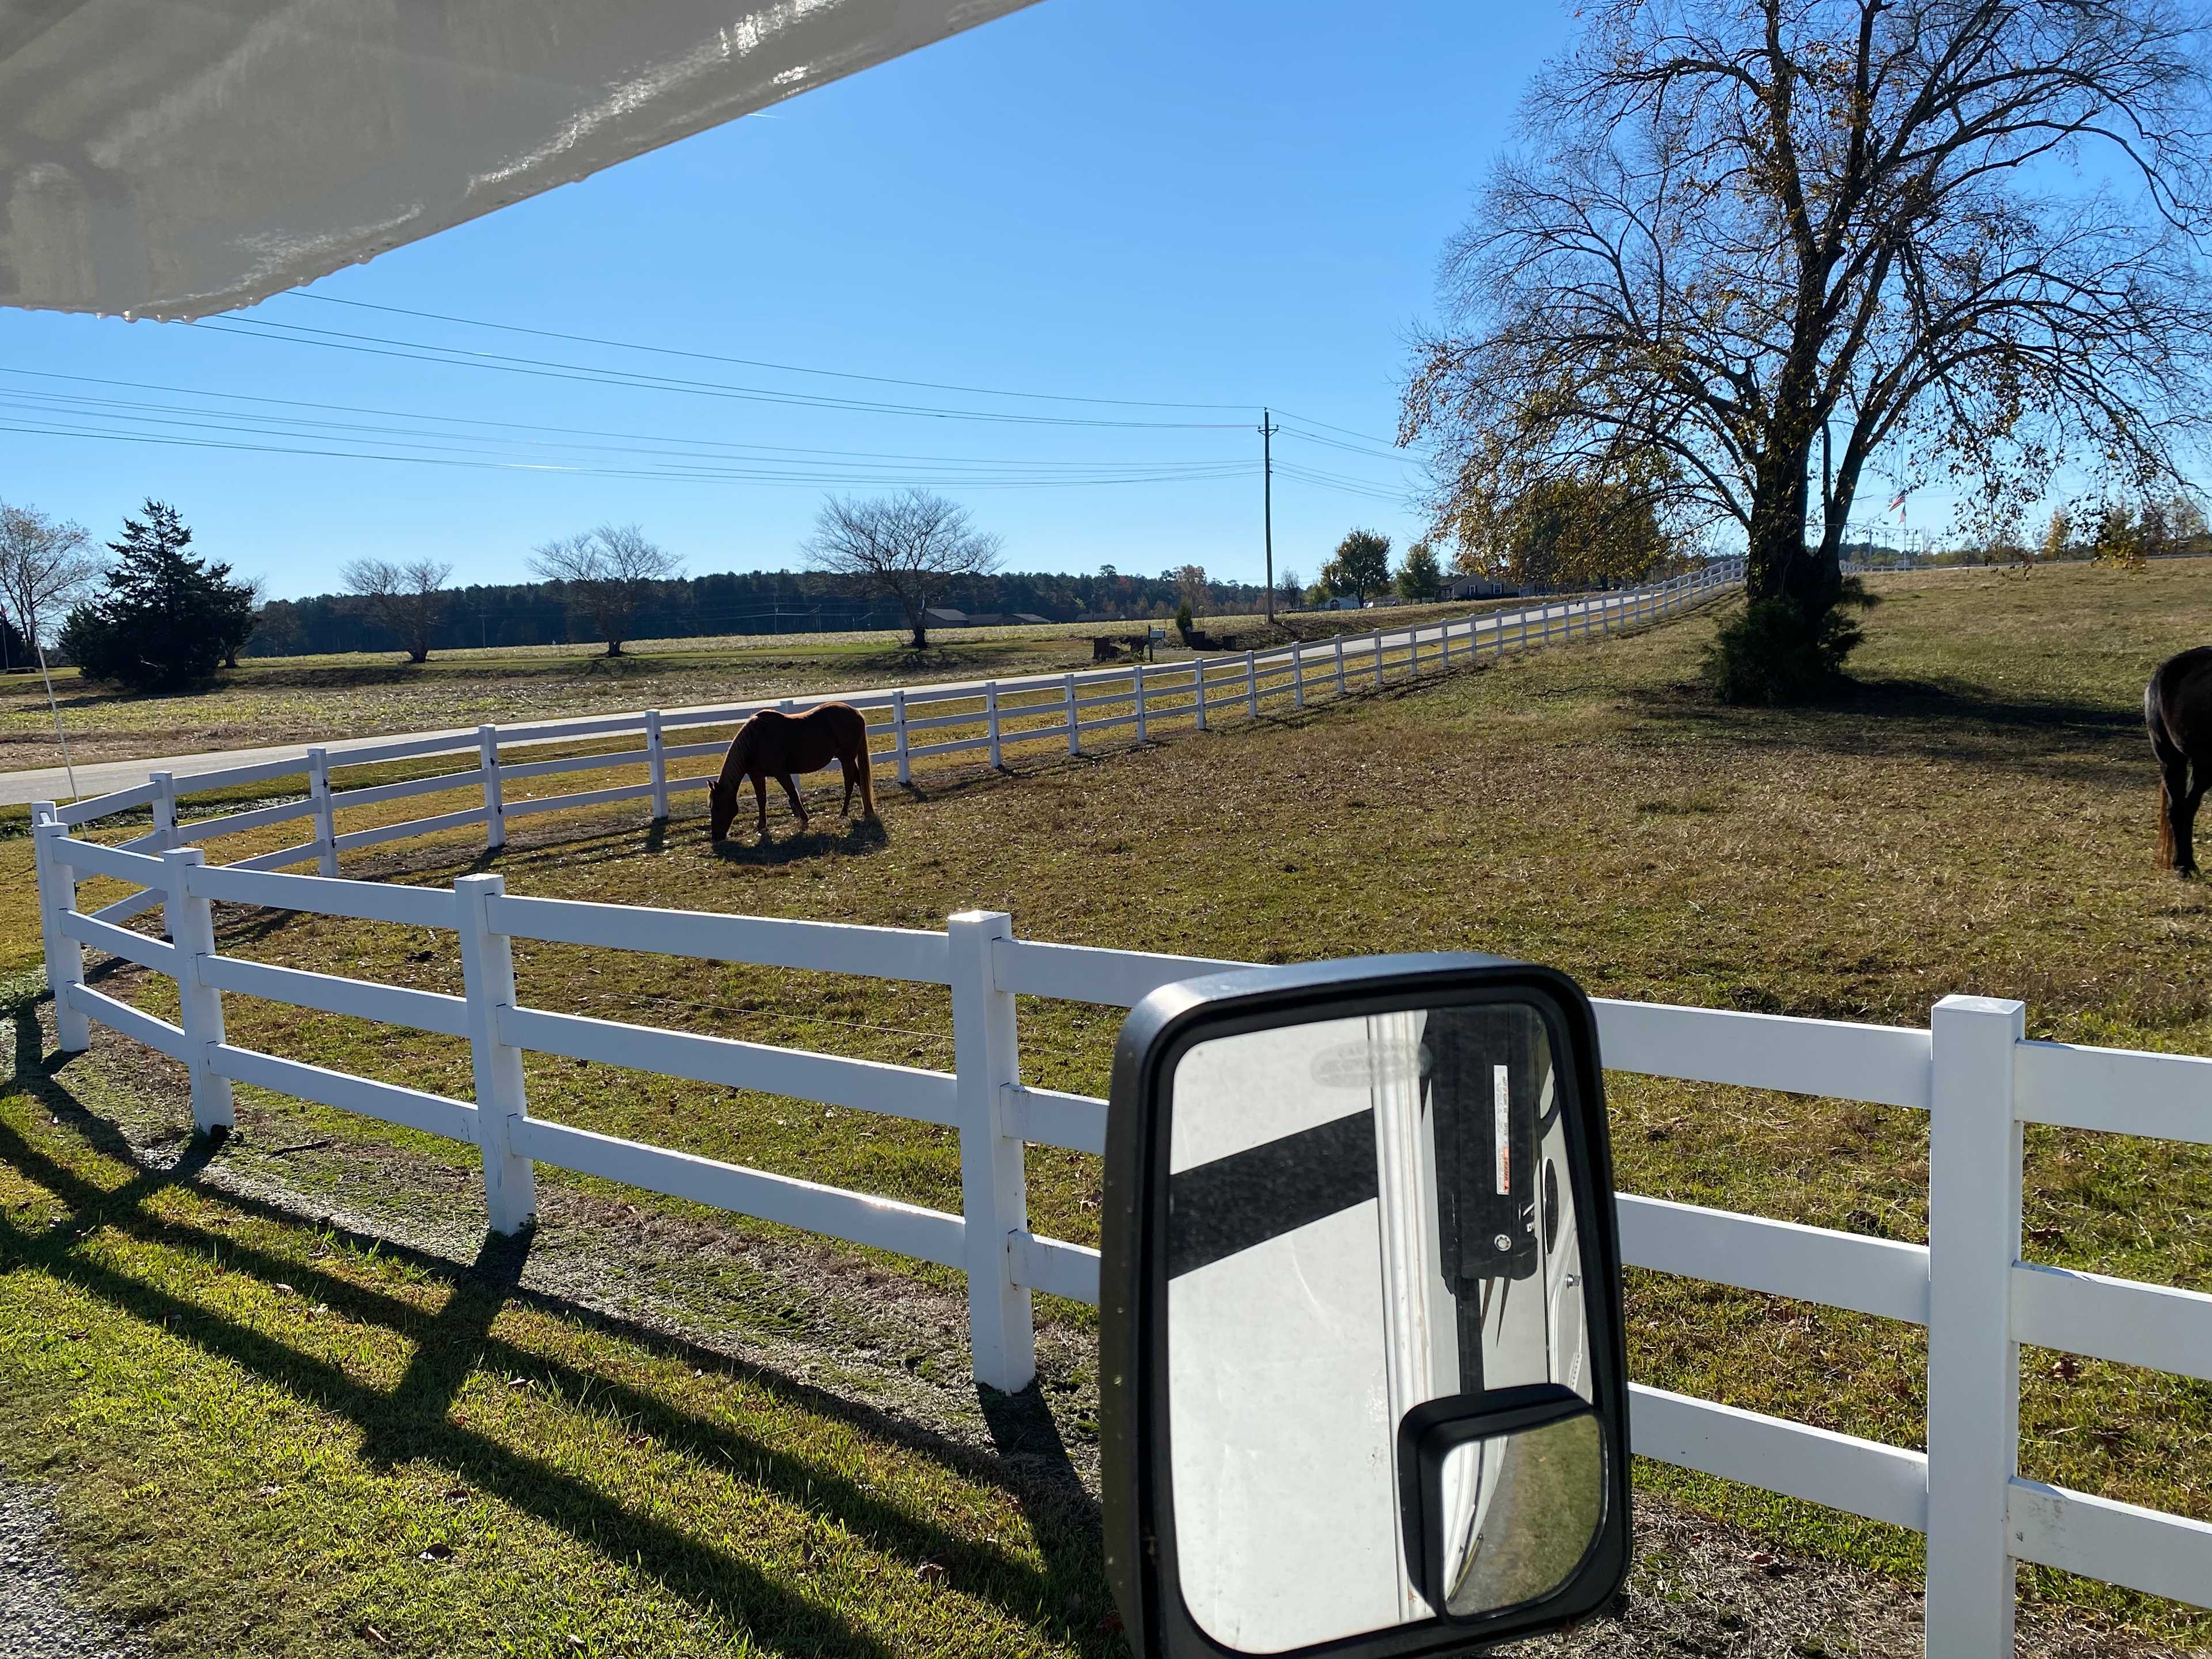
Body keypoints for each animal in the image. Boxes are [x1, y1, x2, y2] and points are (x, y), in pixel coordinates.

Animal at [708, 703, 878, 841]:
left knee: (850, 782)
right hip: (846, 758)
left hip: (847, 758)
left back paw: (844, 813)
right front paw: (761, 825)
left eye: (717, 806)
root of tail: (856, 712)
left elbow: (793, 793)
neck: (754, 741)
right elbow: (761, 799)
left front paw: (804, 820)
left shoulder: (780, 773)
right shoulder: (757, 775)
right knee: (859, 780)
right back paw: (868, 810)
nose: (716, 837)